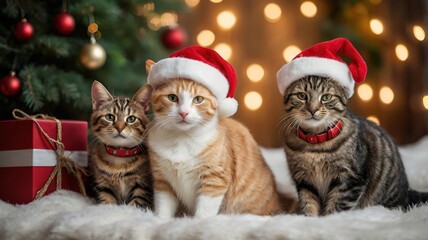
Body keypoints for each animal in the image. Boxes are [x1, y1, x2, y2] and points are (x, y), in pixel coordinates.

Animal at [88, 80, 153, 208]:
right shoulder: (103, 187)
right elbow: (107, 203)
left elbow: (134, 204)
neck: (120, 157)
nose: (119, 127)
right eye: (109, 117)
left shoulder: (143, 188)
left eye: (131, 119)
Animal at [280, 76, 426, 217]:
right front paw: (309, 219)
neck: (316, 144)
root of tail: (406, 192)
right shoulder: (304, 181)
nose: (312, 109)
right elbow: (309, 204)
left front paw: (327, 220)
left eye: (326, 97)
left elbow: (336, 207)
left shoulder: (350, 179)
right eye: (301, 96)